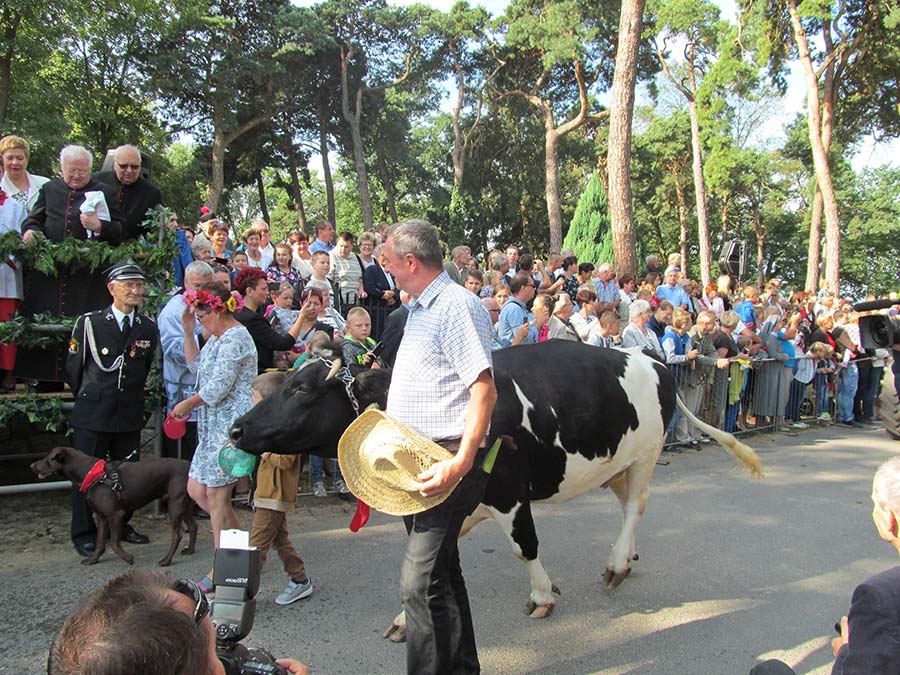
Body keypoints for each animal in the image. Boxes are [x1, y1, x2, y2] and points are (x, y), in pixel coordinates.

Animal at [31, 446, 198, 567]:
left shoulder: (116, 515)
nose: (31, 465)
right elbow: (99, 542)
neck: (91, 474)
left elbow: (113, 543)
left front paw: (128, 558)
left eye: (47, 459)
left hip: (175, 505)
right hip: (185, 505)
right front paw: (93, 560)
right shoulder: (101, 517)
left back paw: (166, 560)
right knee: (193, 527)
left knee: (177, 534)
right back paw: (190, 550)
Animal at [229, 340, 761, 639]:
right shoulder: (447, 509)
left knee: (634, 505)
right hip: (616, 463)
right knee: (638, 504)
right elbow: (423, 566)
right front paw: (403, 620)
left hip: (646, 453)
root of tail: (653, 359)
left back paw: (615, 565)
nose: (235, 429)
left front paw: (543, 596)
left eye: (301, 389)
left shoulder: (509, 492)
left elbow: (525, 546)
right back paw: (627, 556)